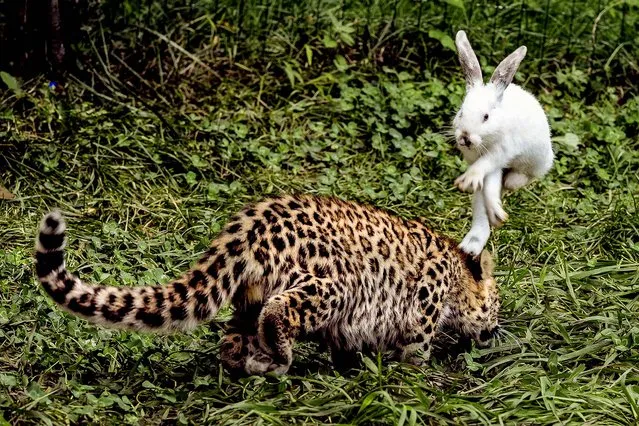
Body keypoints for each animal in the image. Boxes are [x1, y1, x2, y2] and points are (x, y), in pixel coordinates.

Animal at [452, 31, 552, 256]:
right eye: (461, 112)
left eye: (486, 117)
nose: (465, 137)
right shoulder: (484, 162)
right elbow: (487, 184)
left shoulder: (501, 151)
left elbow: (485, 167)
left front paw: (468, 180)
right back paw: (472, 243)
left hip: (537, 160)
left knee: (524, 177)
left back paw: (510, 183)